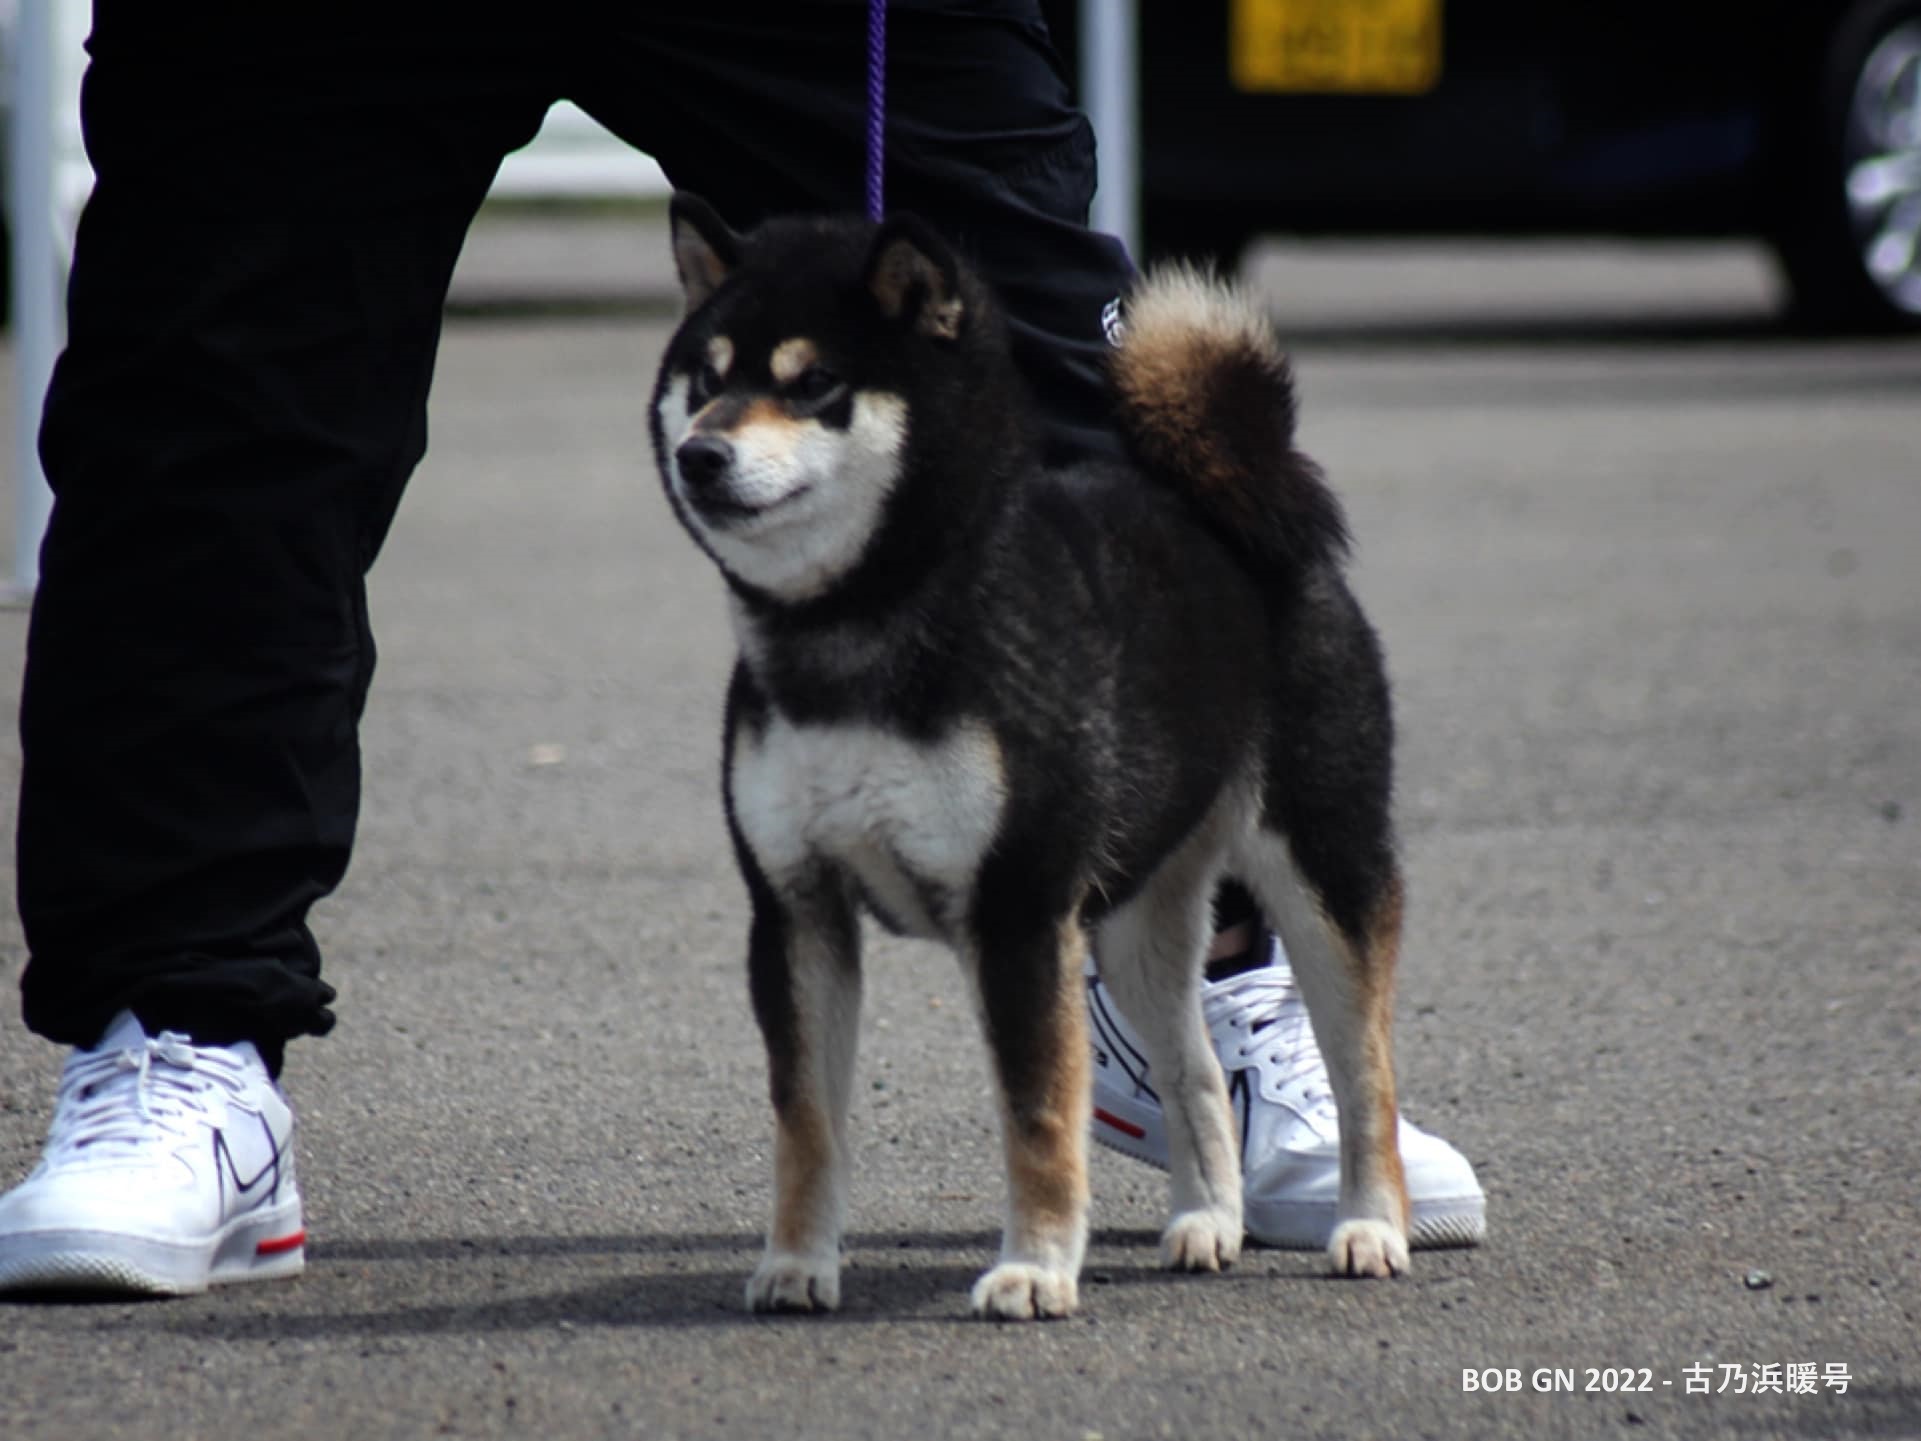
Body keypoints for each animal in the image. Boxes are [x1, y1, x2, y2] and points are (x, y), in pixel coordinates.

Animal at [649, 195, 1413, 1321]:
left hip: (1320, 866)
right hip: (1136, 916)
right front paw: (794, 1261)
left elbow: (1037, 1114)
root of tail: (1241, 498)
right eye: (704, 381)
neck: (860, 624)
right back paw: (1208, 1221)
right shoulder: (795, 908)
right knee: (1192, 1070)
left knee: (1365, 1068)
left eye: (813, 381)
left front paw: (1036, 1268)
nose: (700, 454)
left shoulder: (1015, 910)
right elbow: (806, 1119)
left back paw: (1369, 1225)